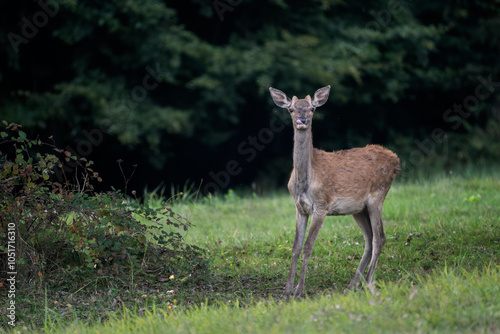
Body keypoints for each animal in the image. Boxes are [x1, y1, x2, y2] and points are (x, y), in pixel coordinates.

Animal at [268, 84, 400, 298]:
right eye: (291, 109)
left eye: (312, 108)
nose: (302, 120)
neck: (305, 181)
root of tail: (395, 159)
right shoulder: (299, 208)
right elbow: (295, 247)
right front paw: (287, 290)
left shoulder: (321, 206)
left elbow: (308, 247)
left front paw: (299, 290)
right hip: (358, 209)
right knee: (369, 239)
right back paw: (352, 285)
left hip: (377, 197)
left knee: (380, 238)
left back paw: (368, 283)